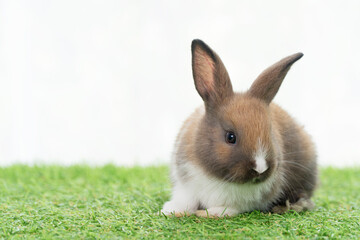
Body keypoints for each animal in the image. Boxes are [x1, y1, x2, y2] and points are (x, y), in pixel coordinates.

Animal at [162, 39, 316, 218]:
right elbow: (185, 200)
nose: (260, 168)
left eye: (270, 134)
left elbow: (231, 207)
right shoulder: (185, 184)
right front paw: (171, 210)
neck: (218, 178)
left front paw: (211, 213)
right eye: (230, 137)